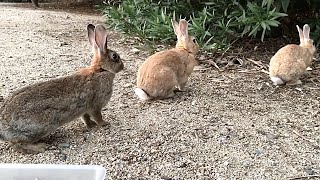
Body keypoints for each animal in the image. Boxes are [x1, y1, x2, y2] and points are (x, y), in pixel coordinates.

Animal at [0, 23, 124, 153]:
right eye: (115, 56)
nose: (123, 66)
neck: (100, 70)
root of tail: (3, 128)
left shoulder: (84, 109)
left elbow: (86, 118)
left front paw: (91, 126)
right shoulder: (95, 105)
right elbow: (97, 116)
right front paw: (104, 124)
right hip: (41, 126)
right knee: (17, 143)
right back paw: (40, 147)